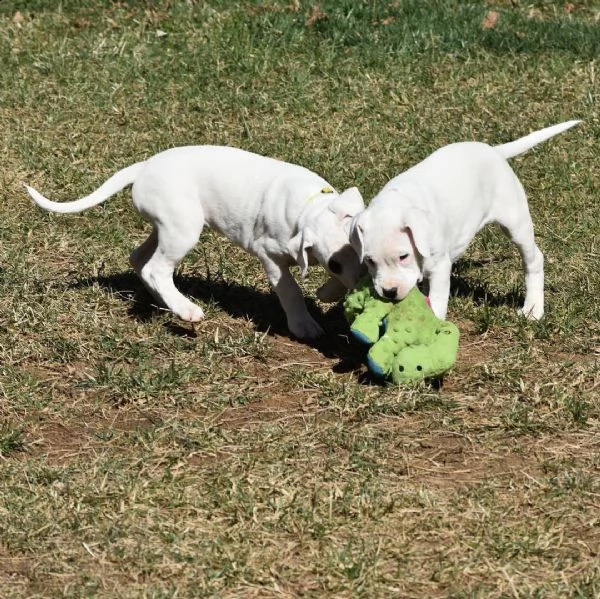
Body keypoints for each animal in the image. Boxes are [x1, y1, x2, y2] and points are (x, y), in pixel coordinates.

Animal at [27, 145, 366, 340]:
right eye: (334, 263)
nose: (369, 286)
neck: (307, 206)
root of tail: (144, 166)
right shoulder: (270, 255)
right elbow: (291, 291)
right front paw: (303, 325)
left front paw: (327, 294)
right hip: (183, 228)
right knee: (156, 268)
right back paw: (186, 309)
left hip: (167, 226)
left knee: (140, 260)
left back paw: (167, 302)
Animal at [350, 119, 580, 322]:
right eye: (370, 261)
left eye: (403, 256)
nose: (389, 292)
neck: (397, 201)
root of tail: (493, 151)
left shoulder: (440, 267)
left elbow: (437, 302)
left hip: (516, 223)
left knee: (534, 260)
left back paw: (533, 309)